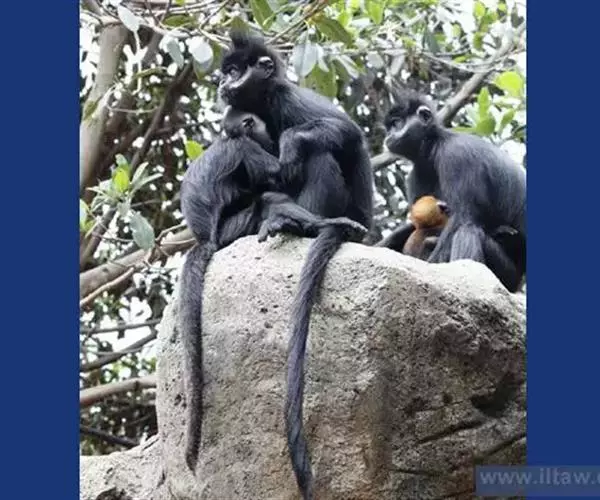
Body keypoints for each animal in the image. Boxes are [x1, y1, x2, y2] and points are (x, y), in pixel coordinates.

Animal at [218, 31, 374, 499]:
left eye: (236, 71)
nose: (222, 84)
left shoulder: (287, 100)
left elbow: (346, 133)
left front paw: (290, 144)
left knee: (320, 151)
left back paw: (303, 222)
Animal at [381, 89, 526, 292]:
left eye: (396, 123)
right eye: (390, 127)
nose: (388, 135)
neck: (435, 146)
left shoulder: (456, 155)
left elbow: (461, 217)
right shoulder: (418, 172)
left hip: (508, 275)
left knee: (467, 230)